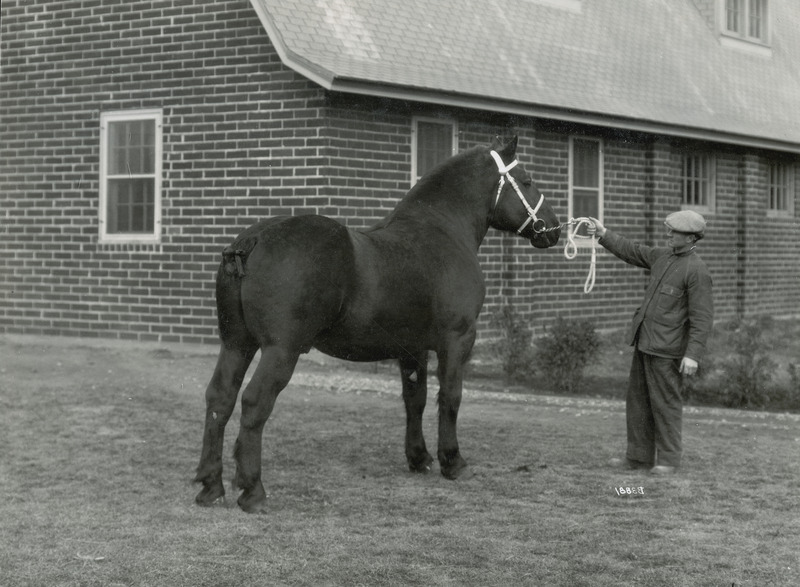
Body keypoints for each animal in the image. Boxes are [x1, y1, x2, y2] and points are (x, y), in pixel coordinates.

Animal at [195, 136, 560, 512]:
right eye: (528, 180)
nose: (554, 228)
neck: (442, 231)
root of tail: (252, 241)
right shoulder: (458, 339)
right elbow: (450, 397)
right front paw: (453, 462)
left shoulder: (412, 349)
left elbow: (416, 399)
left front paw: (419, 458)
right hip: (280, 350)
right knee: (254, 402)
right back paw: (253, 490)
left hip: (237, 344)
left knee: (219, 399)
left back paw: (211, 486)